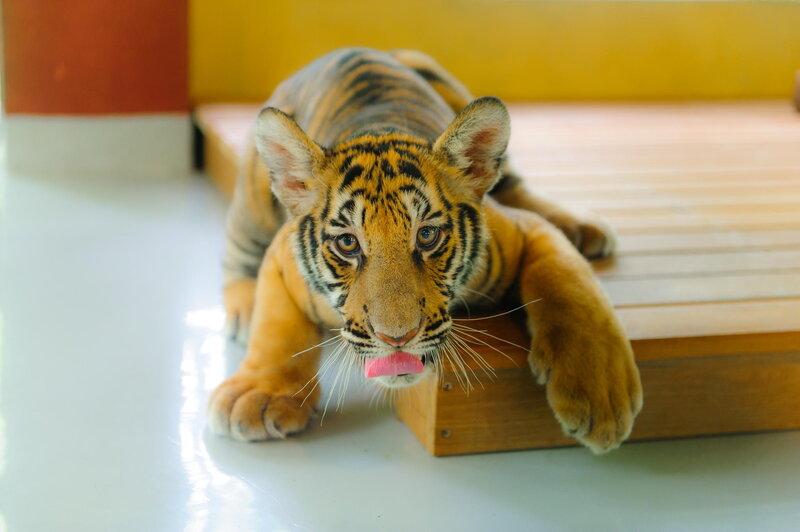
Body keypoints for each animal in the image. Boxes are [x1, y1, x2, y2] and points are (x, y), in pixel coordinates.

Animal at [208, 47, 642, 454]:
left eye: (428, 236)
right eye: (348, 243)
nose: (397, 339)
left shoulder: (524, 229)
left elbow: (572, 289)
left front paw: (600, 396)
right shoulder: (282, 257)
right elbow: (276, 328)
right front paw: (259, 395)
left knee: (516, 184)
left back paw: (583, 226)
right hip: (252, 200)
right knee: (236, 257)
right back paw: (244, 312)